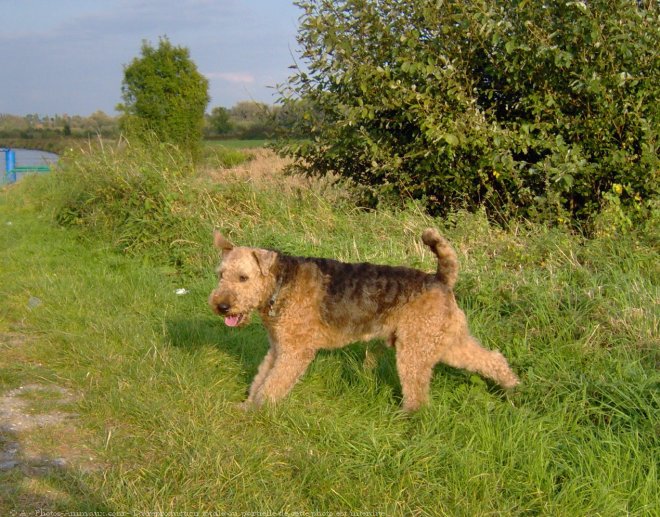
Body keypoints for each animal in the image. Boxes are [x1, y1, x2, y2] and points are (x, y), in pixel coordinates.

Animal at [209, 230, 520, 412]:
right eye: (220, 274)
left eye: (243, 277)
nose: (221, 306)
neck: (279, 285)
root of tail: (441, 278)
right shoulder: (278, 348)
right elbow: (262, 378)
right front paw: (247, 406)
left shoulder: (295, 352)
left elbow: (272, 384)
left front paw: (257, 410)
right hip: (445, 342)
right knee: (491, 359)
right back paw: (513, 388)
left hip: (415, 349)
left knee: (417, 394)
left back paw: (407, 417)